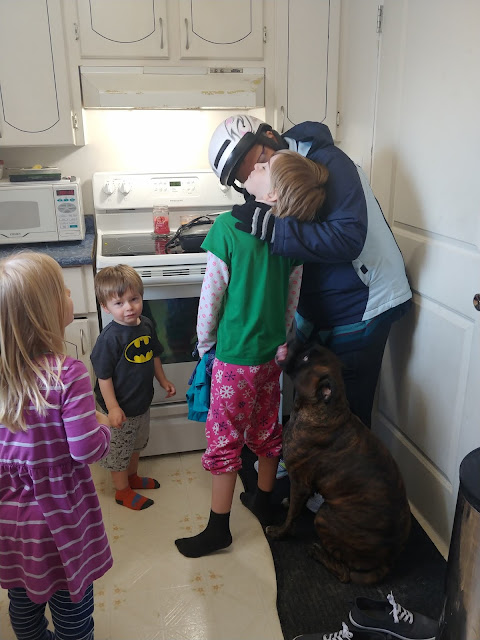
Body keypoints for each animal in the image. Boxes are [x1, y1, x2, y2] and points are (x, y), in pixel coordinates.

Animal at [266, 339, 411, 584]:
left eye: (306, 359)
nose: (297, 339)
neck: (320, 408)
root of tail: (388, 561)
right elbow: (296, 505)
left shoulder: (300, 482)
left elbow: (291, 516)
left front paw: (280, 532)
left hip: (325, 516)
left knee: (344, 573)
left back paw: (317, 552)